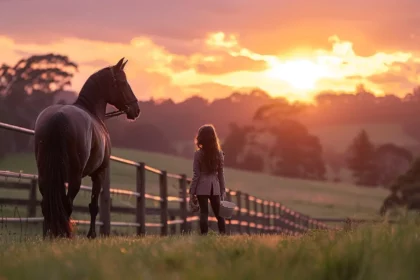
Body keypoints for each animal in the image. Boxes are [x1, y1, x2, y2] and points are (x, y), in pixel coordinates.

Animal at [33, 57, 140, 238]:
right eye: (123, 82)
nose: (136, 109)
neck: (92, 111)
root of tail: (58, 117)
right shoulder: (99, 173)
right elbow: (93, 206)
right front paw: (92, 235)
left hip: (44, 174)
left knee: (47, 204)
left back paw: (49, 234)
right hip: (75, 177)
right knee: (67, 204)